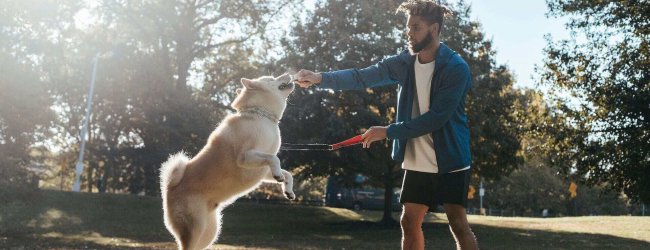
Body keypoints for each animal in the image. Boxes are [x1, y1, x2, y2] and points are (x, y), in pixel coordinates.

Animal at [160, 73, 296, 249]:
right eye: (272, 78)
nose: (289, 73)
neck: (262, 116)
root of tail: (170, 189)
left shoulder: (263, 170)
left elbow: (287, 173)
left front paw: (288, 190)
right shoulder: (245, 157)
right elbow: (274, 158)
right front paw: (280, 176)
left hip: (210, 232)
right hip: (195, 227)